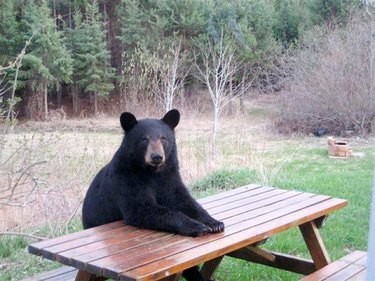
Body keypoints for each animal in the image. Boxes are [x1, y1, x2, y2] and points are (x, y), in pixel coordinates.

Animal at [82, 109, 223, 280]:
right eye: (144, 139)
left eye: (163, 138)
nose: (157, 156)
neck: (152, 172)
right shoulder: (127, 179)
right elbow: (142, 209)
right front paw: (196, 226)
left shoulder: (169, 177)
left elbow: (183, 200)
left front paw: (214, 222)